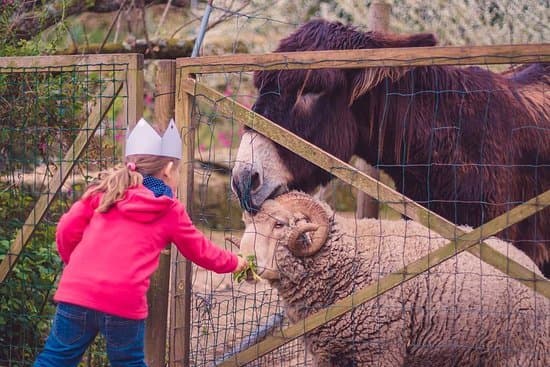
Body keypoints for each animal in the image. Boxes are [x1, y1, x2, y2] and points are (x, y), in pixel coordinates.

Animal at [240, 191, 550, 366]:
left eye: (279, 224)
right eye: (247, 223)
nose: (244, 261)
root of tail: (529, 266)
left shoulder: (380, 350)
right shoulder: (327, 353)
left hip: (522, 354)